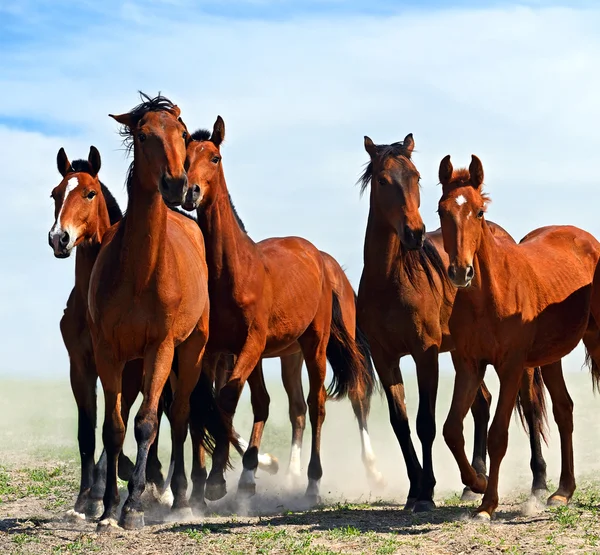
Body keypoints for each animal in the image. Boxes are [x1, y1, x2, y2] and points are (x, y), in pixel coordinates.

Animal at [85, 93, 221, 532]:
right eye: (143, 135)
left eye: (182, 134)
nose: (177, 184)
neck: (139, 272)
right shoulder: (108, 352)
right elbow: (114, 427)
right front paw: (108, 508)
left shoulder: (161, 348)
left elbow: (147, 423)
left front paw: (132, 508)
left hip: (190, 352)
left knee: (177, 417)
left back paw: (180, 496)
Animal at [170, 115, 376, 506]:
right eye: (184, 157)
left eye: (215, 157)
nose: (190, 192)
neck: (232, 271)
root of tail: (320, 258)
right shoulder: (218, 350)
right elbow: (224, 403)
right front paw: (230, 478)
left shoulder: (251, 344)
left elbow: (227, 399)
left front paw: (219, 479)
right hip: (287, 355)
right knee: (295, 408)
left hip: (315, 345)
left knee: (322, 403)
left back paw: (320, 480)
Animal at [356, 135, 548, 512]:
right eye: (383, 181)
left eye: (415, 177)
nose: (414, 233)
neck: (390, 281)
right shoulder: (385, 358)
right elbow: (400, 423)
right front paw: (415, 488)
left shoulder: (425, 353)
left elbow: (425, 424)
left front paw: (426, 492)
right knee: (483, 403)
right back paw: (475, 480)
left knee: (531, 406)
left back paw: (538, 482)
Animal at [436, 154, 600, 520]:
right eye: (441, 210)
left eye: (479, 212)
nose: (460, 272)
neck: (490, 295)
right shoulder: (469, 366)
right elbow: (452, 429)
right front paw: (477, 483)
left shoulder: (510, 367)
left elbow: (498, 435)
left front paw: (488, 504)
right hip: (551, 358)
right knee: (564, 410)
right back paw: (562, 492)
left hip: (596, 342)